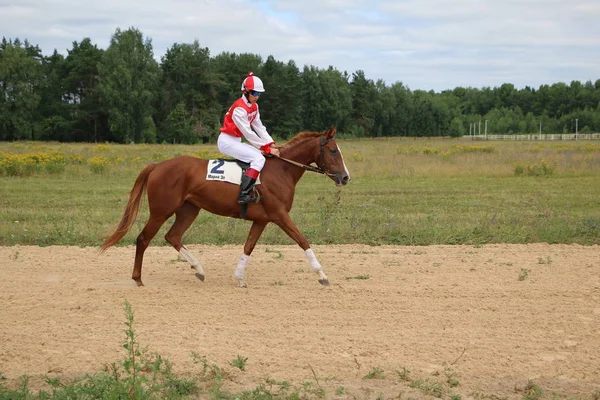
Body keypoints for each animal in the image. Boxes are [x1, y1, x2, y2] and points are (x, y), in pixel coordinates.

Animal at [99, 126, 352, 286]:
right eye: (332, 150)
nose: (345, 177)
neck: (281, 170)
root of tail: (158, 165)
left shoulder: (262, 220)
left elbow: (248, 247)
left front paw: (239, 277)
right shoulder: (280, 216)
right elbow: (303, 241)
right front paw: (322, 275)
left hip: (189, 209)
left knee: (173, 236)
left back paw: (199, 269)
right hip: (161, 211)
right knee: (143, 239)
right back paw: (138, 279)